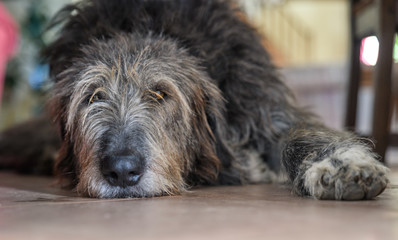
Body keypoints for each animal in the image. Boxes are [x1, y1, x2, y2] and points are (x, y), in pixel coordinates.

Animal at [0, 0, 388, 199]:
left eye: (160, 93)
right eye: (93, 95)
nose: (121, 170)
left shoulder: (259, 101)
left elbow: (295, 133)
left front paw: (341, 166)